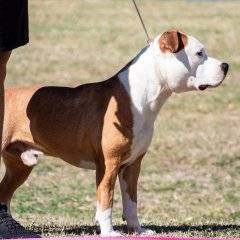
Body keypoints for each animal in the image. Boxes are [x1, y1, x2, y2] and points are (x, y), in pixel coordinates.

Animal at [0, 30, 229, 236]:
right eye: (199, 53)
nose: (226, 65)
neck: (137, 97)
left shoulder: (132, 165)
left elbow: (131, 201)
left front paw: (137, 229)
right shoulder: (108, 164)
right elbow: (106, 200)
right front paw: (109, 232)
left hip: (20, 166)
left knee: (4, 192)